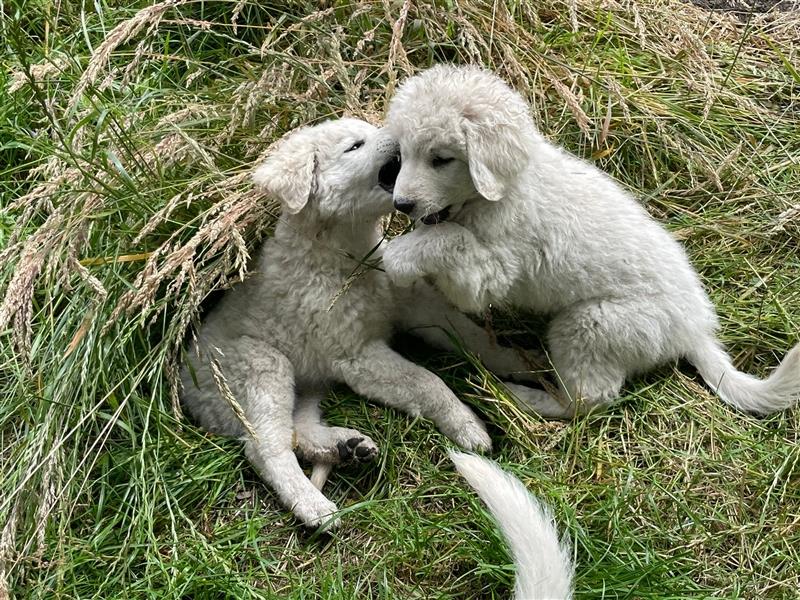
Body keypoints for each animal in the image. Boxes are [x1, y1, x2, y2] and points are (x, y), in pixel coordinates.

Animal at [178, 119, 536, 528]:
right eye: (354, 146)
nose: (400, 132)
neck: (347, 256)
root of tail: (186, 385)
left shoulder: (415, 306)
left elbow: (473, 337)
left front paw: (522, 361)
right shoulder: (357, 355)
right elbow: (427, 381)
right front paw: (467, 425)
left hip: (308, 382)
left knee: (296, 430)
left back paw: (344, 447)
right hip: (260, 367)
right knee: (265, 448)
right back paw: (314, 508)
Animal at [382, 62, 800, 418]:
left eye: (441, 159)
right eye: (403, 153)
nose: (401, 204)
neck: (505, 188)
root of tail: (695, 329)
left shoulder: (492, 272)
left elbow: (449, 239)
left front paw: (399, 257)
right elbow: (443, 234)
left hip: (591, 325)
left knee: (587, 401)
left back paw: (522, 398)